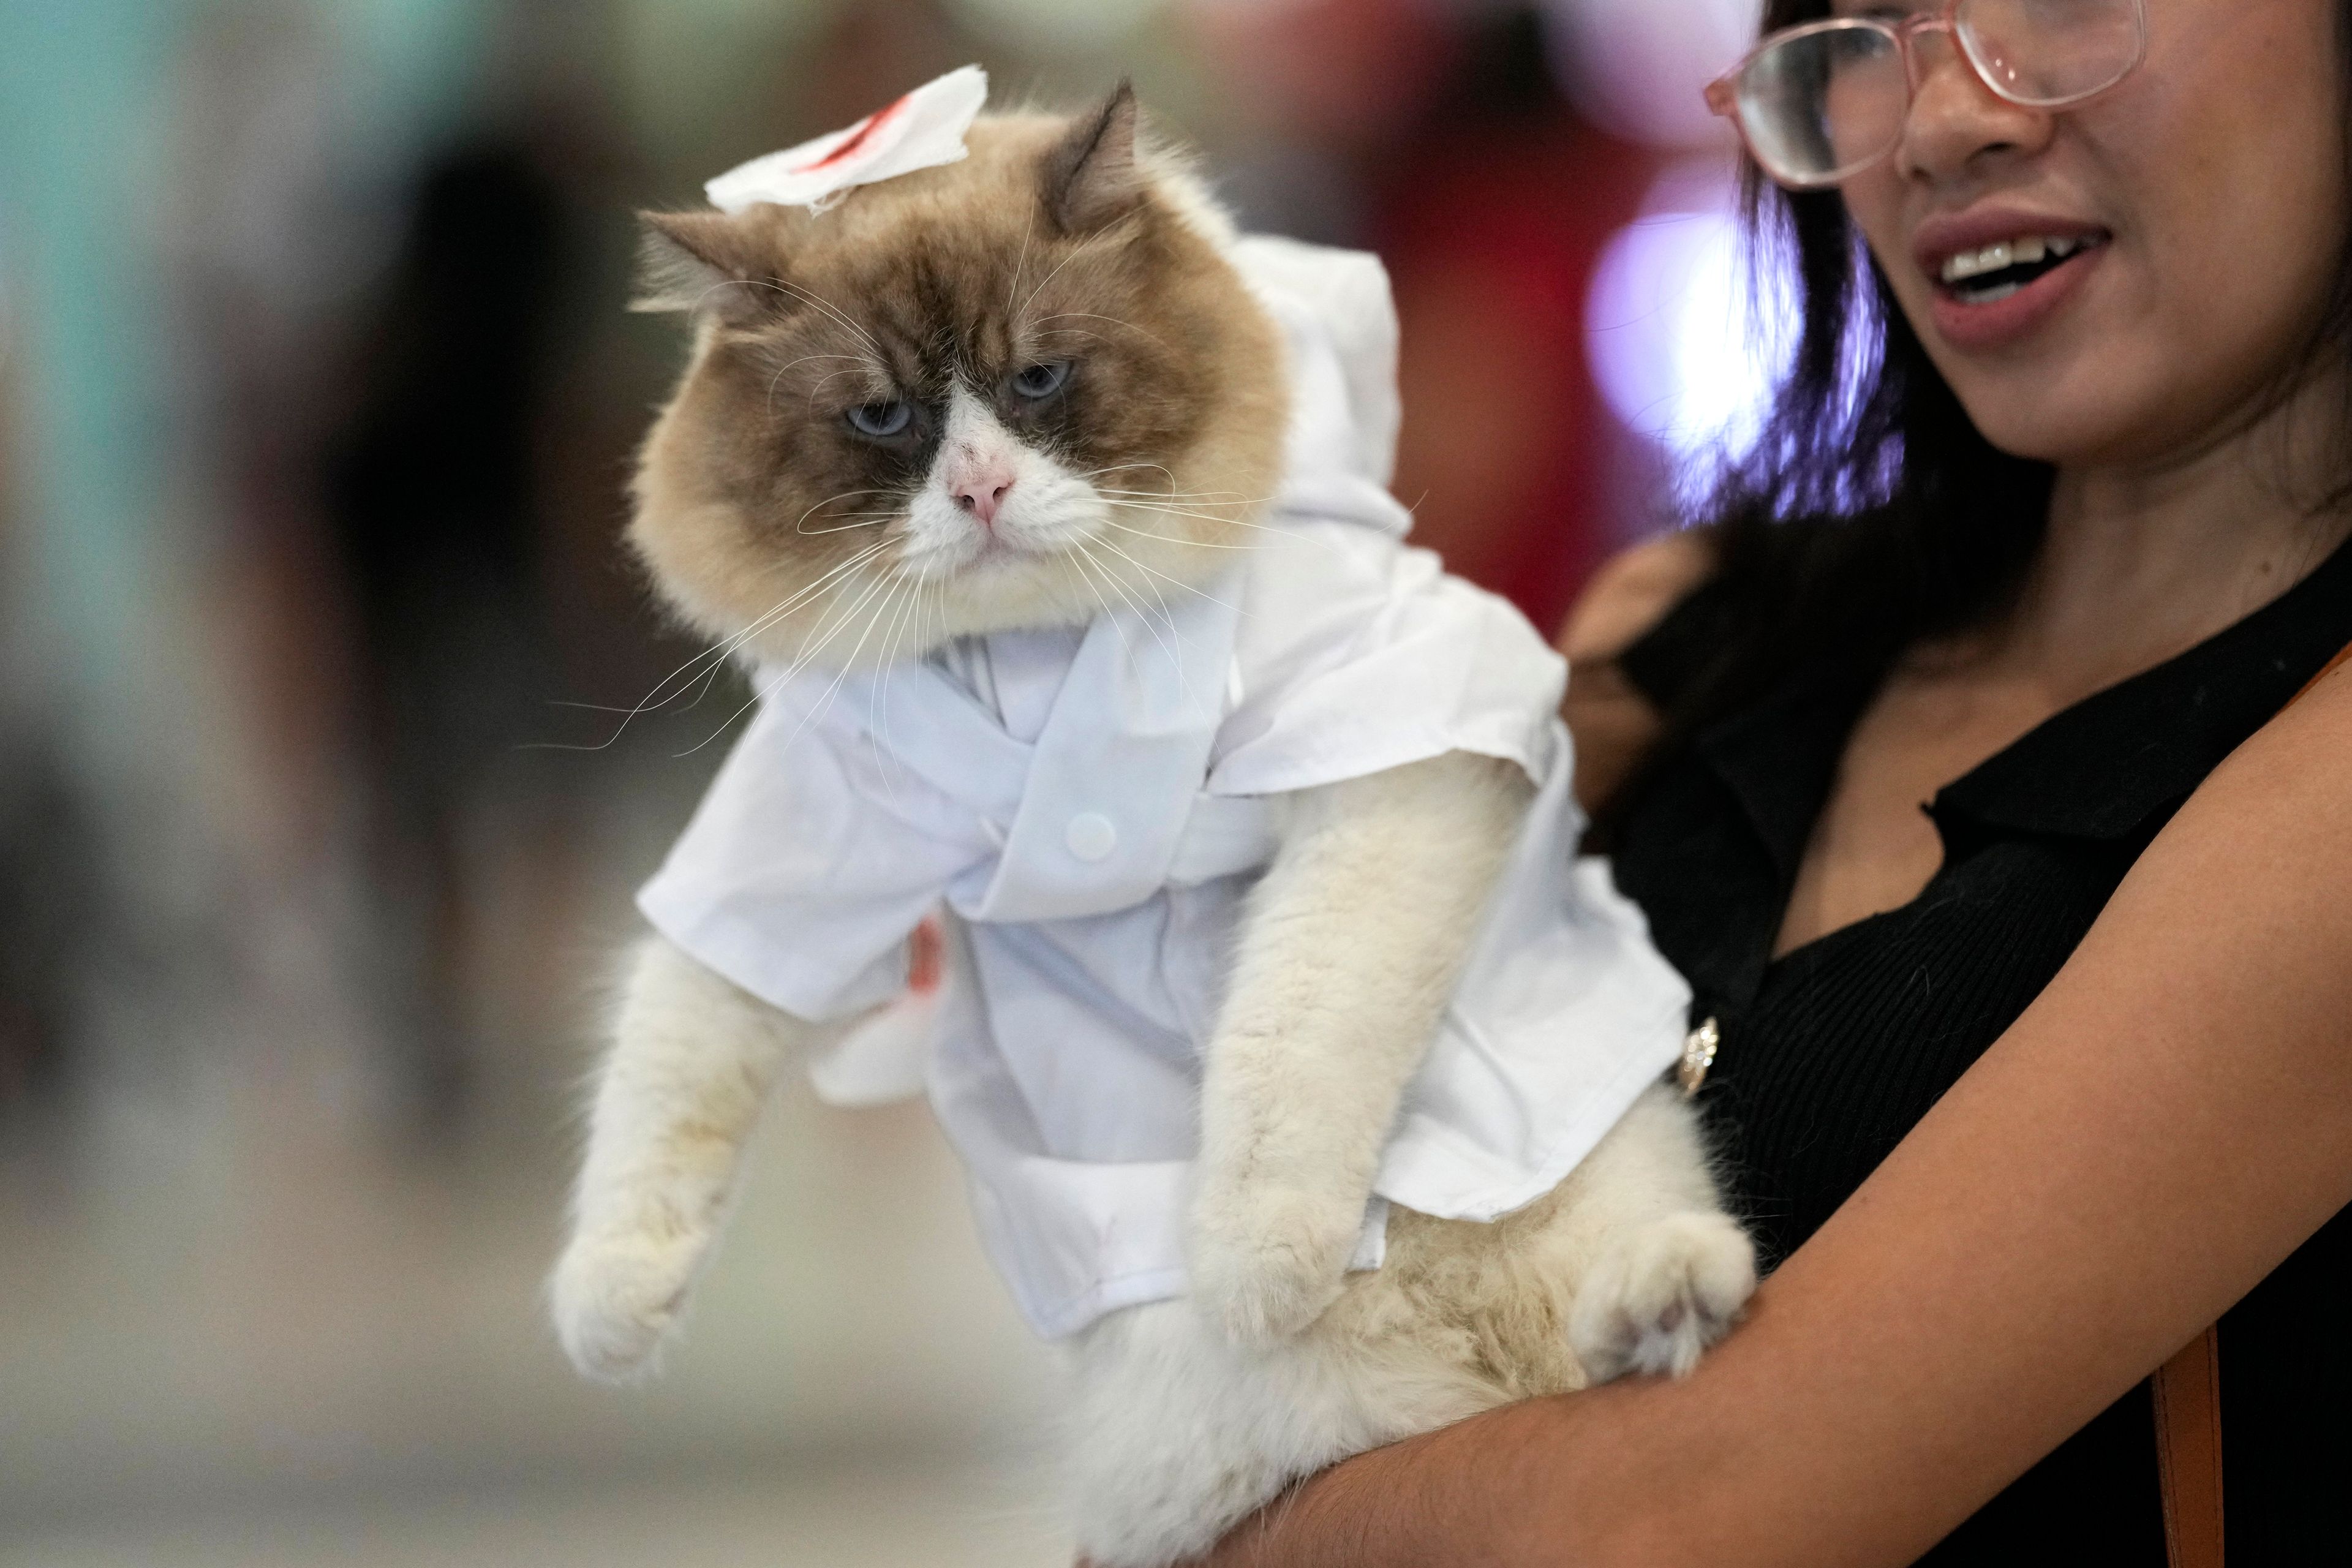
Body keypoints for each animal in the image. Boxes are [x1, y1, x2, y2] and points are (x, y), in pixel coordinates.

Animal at [555, 88, 1749, 1568]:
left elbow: (1289, 1046)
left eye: (1036, 383)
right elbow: (669, 1067)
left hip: (1604, 1181)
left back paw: (1664, 1297)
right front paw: (609, 1313)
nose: (981, 492)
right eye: (884, 417)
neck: (1042, 649)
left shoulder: (1388, 764)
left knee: (1619, 1306)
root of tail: (1467, 1360)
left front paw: (1255, 1263)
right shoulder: (805, 850)